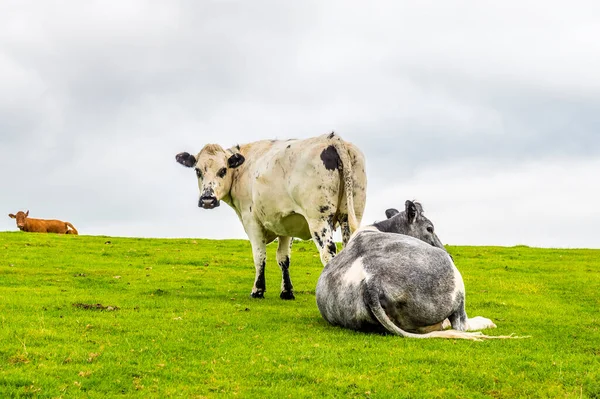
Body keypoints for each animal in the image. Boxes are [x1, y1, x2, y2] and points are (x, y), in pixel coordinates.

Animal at [176, 134, 366, 300]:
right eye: (197, 171)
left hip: (319, 219)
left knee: (328, 253)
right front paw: (287, 292)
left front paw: (258, 290)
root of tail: (332, 139)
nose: (207, 199)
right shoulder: (286, 223)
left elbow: (259, 256)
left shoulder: (251, 221)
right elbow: (283, 258)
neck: (243, 170)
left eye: (223, 170)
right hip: (349, 215)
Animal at [316, 200, 516, 340]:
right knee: (461, 324)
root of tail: (371, 282)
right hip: (454, 284)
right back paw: (485, 322)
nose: (450, 255)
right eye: (430, 228)